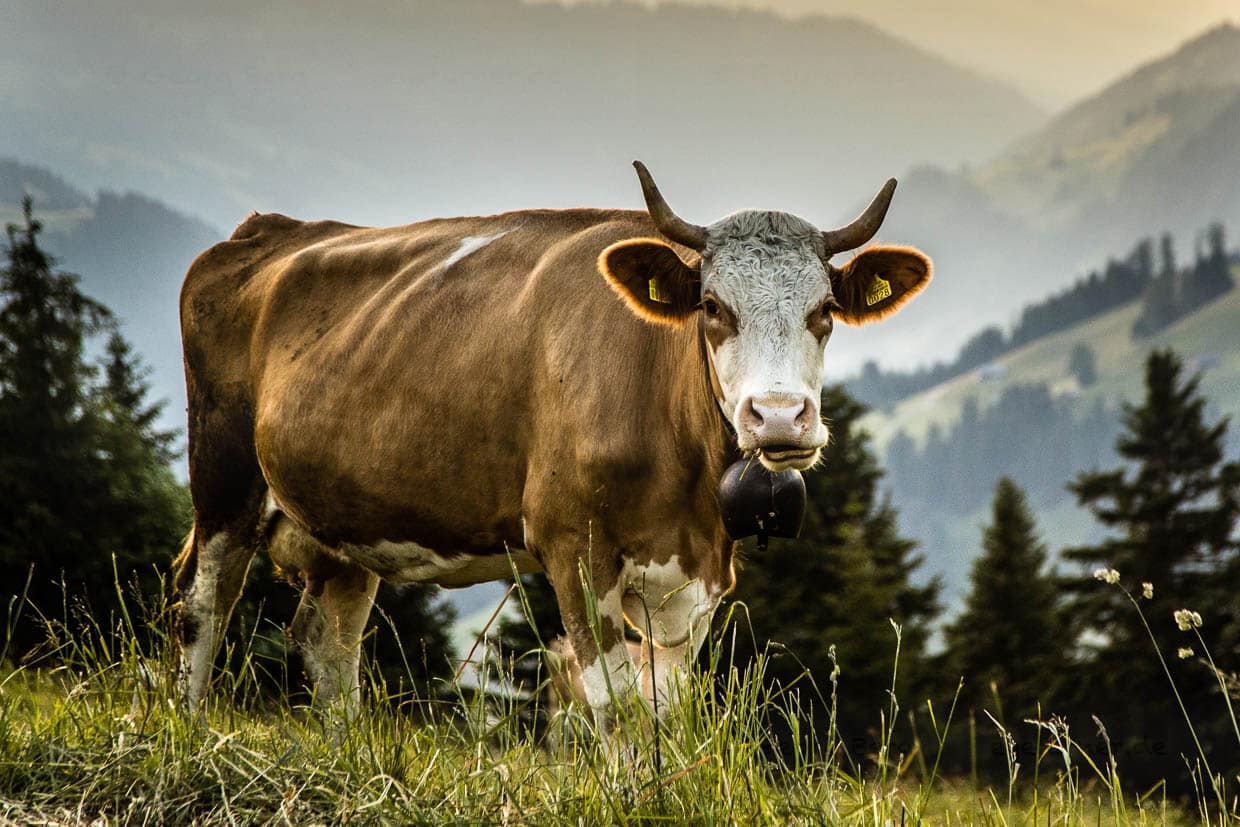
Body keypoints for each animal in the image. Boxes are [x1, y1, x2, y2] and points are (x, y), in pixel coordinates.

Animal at [173, 162, 931, 728]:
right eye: (714, 307)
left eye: (824, 310)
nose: (778, 419)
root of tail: (268, 230)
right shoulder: (574, 546)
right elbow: (615, 706)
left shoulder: (698, 575)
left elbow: (667, 710)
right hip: (224, 477)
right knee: (200, 606)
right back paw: (191, 735)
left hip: (347, 522)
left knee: (327, 641)